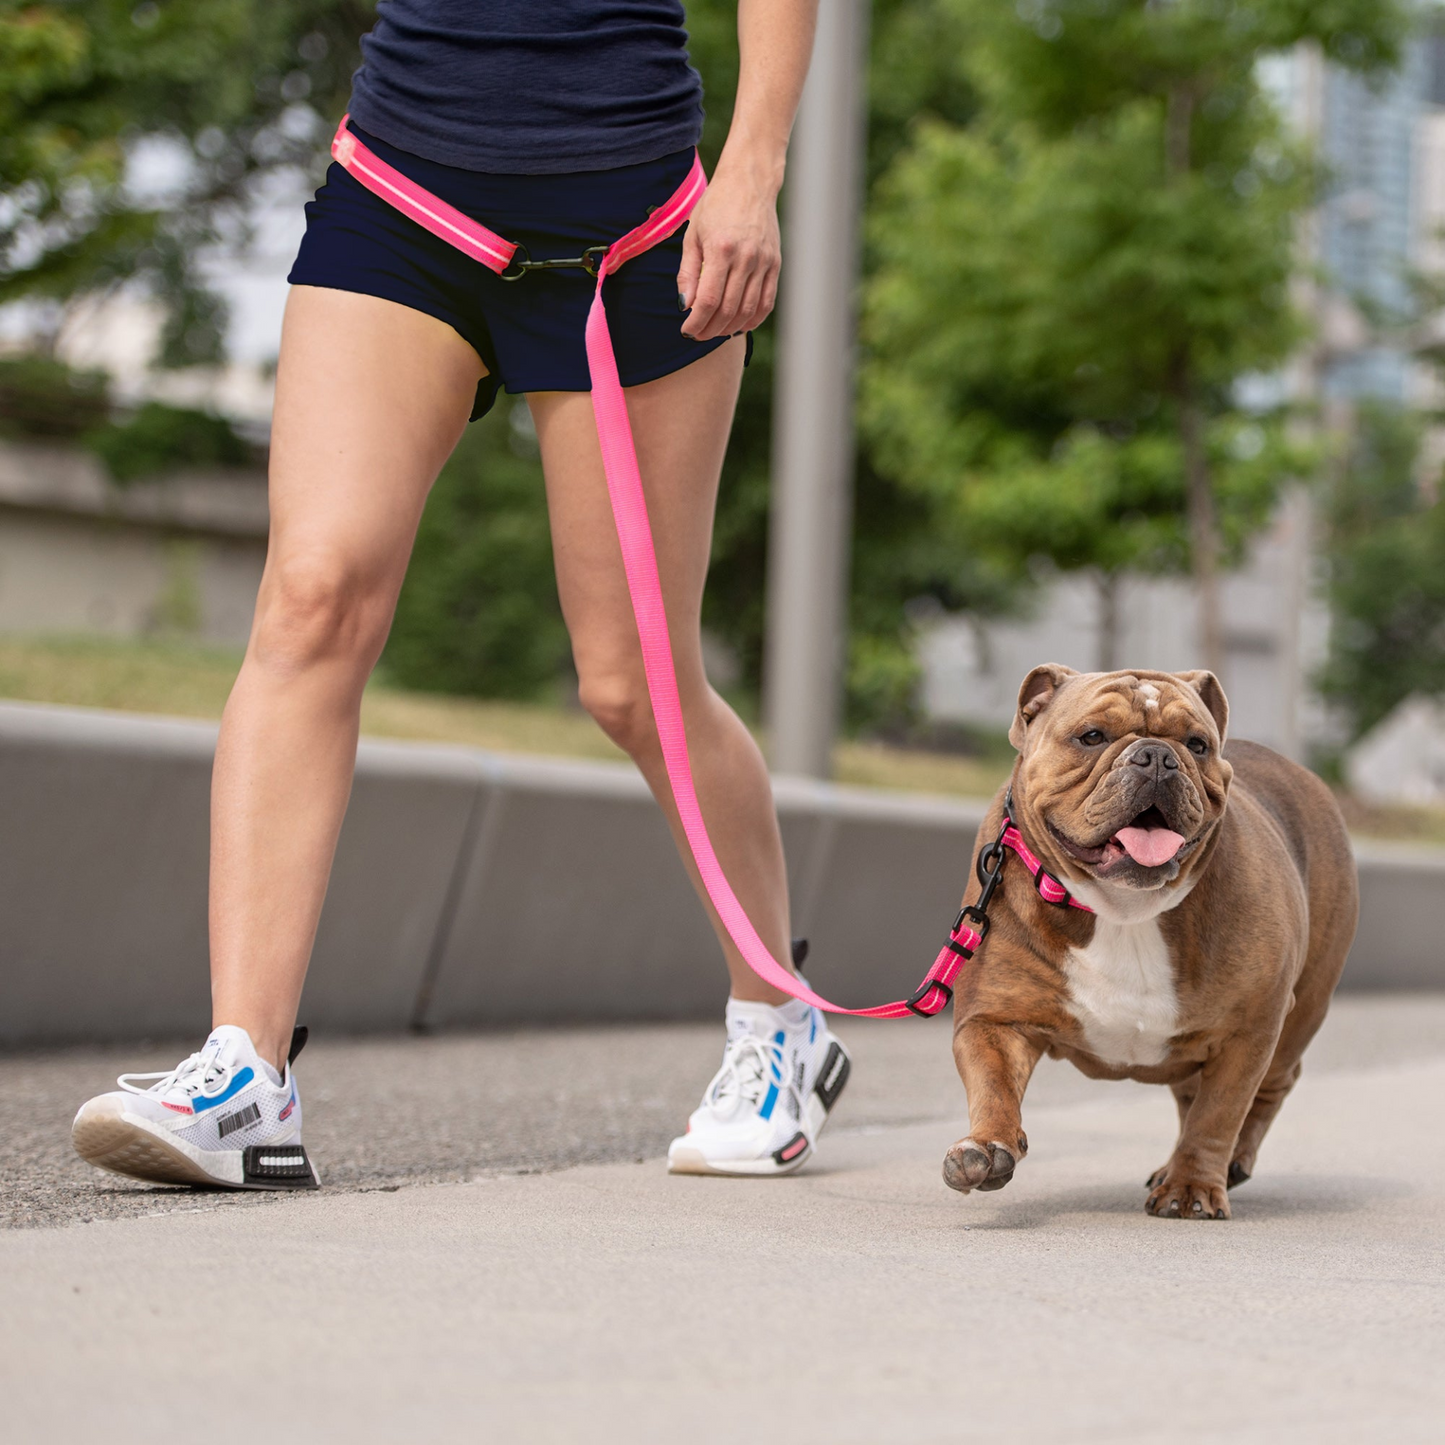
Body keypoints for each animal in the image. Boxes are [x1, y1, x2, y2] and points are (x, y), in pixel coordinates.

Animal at [942, 664, 1358, 1219]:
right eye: (1091, 736)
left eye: (1197, 745)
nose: (1158, 756)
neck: (1124, 910)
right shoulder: (994, 1018)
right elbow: (993, 1086)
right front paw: (985, 1147)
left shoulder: (1249, 1031)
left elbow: (1218, 1114)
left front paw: (1192, 1187)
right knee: (1190, 1092)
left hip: (1301, 1013)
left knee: (1268, 1089)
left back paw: (1229, 1163)